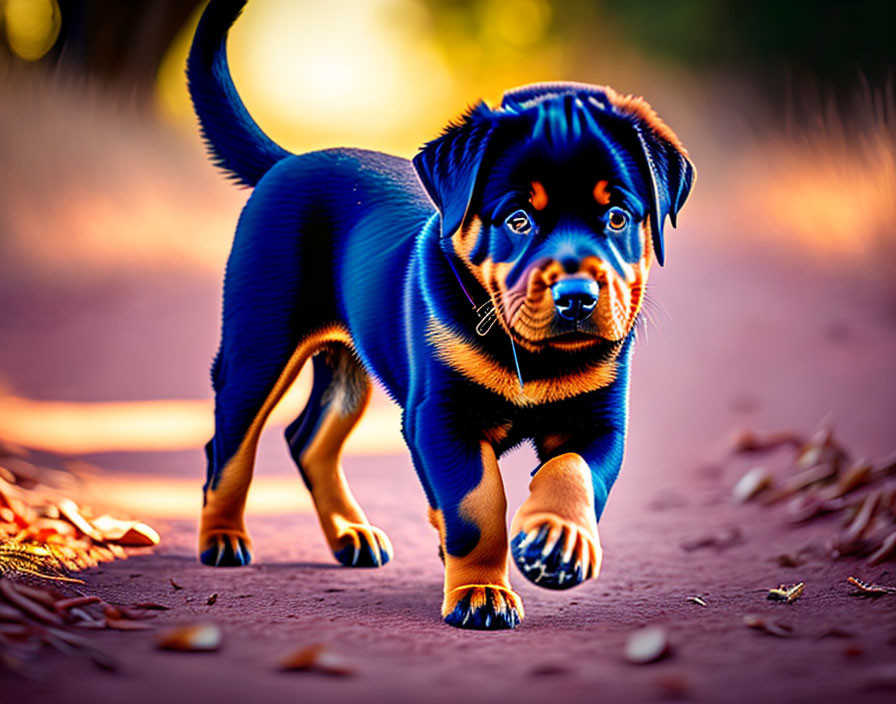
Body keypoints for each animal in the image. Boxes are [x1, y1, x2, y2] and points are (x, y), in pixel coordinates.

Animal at [189, 0, 692, 628]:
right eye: (519, 219)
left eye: (619, 217)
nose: (577, 297)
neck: (529, 352)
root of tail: (290, 161)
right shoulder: (441, 415)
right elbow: (476, 505)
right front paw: (481, 592)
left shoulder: (597, 418)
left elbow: (574, 474)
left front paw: (559, 539)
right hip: (260, 344)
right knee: (230, 445)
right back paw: (223, 538)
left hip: (350, 365)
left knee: (309, 437)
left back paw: (352, 534)